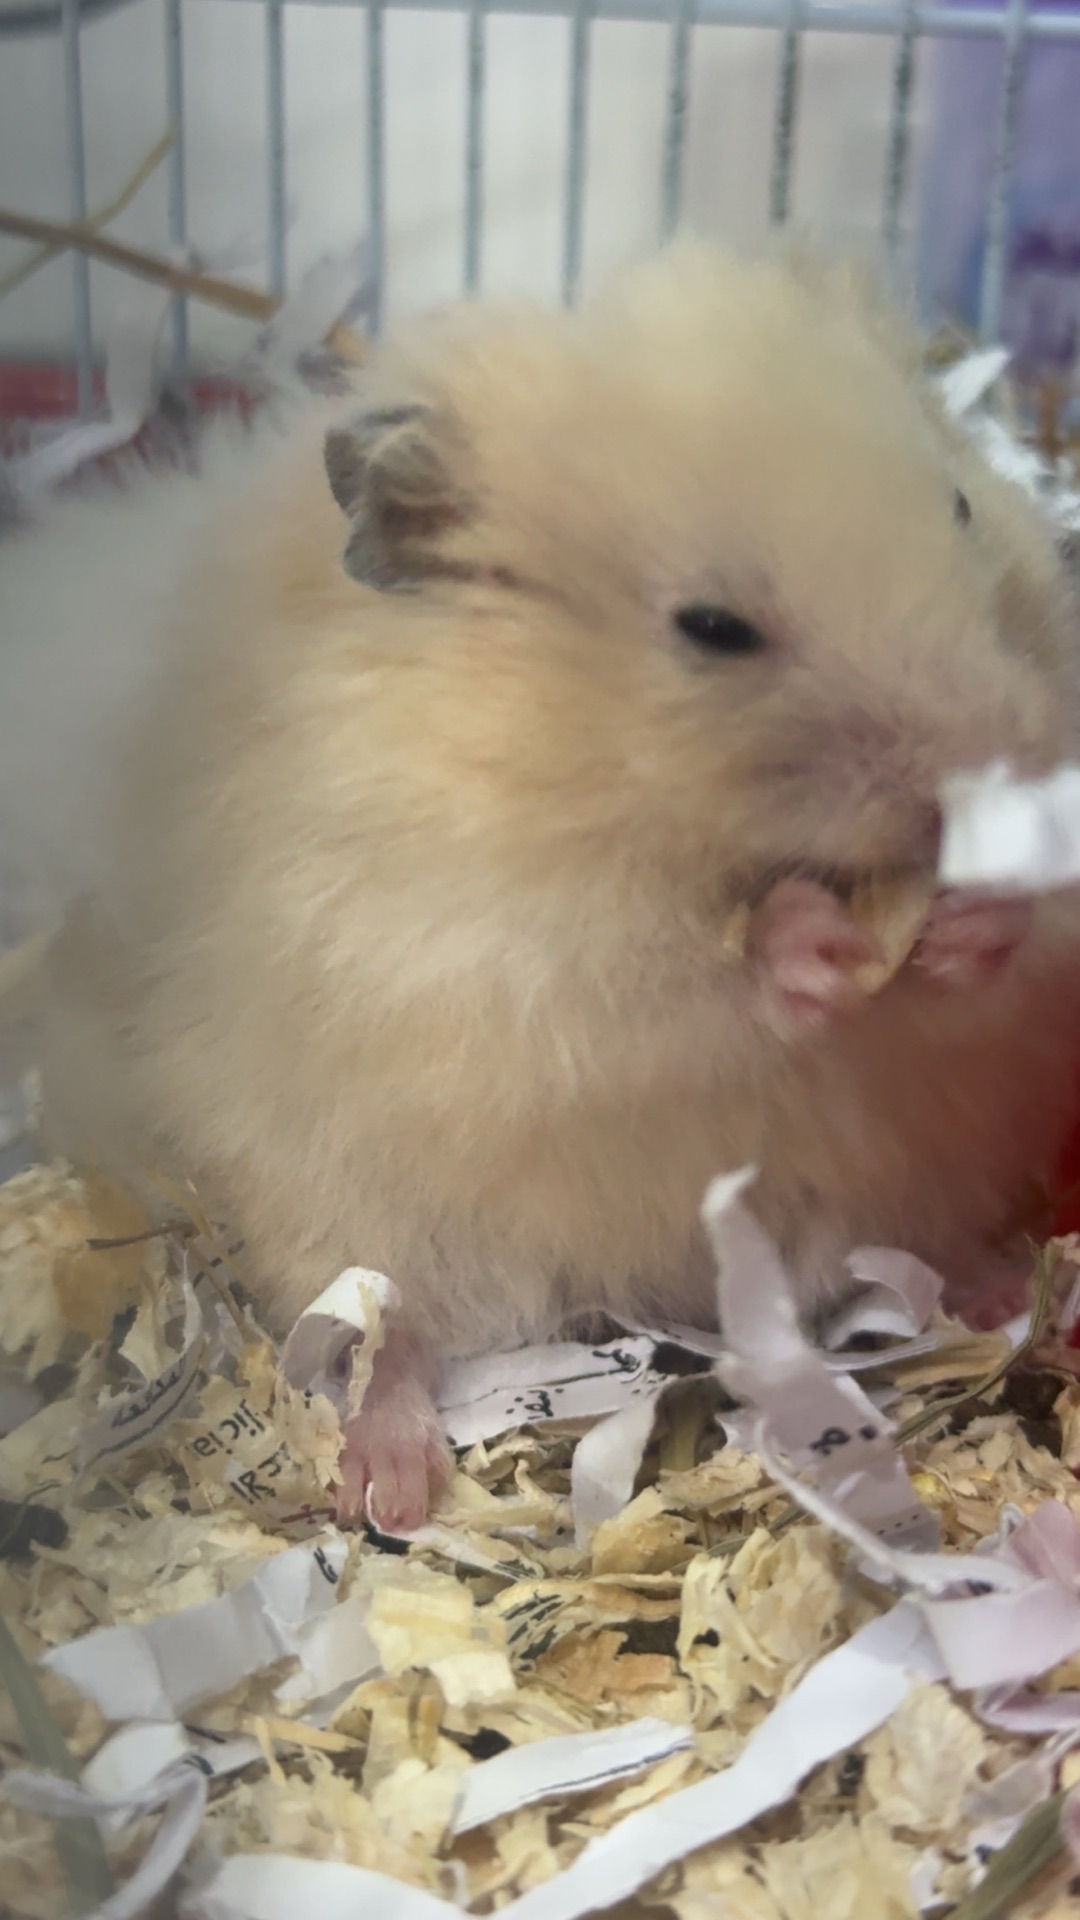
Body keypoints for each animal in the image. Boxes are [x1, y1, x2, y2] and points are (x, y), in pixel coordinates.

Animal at [5, 240, 1080, 1531]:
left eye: (965, 508)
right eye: (712, 628)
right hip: (343, 1202)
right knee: (376, 1333)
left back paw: (1005, 1289)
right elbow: (668, 981)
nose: (1004, 764)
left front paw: (976, 916)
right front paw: (809, 947)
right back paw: (388, 1486)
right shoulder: (489, 948)